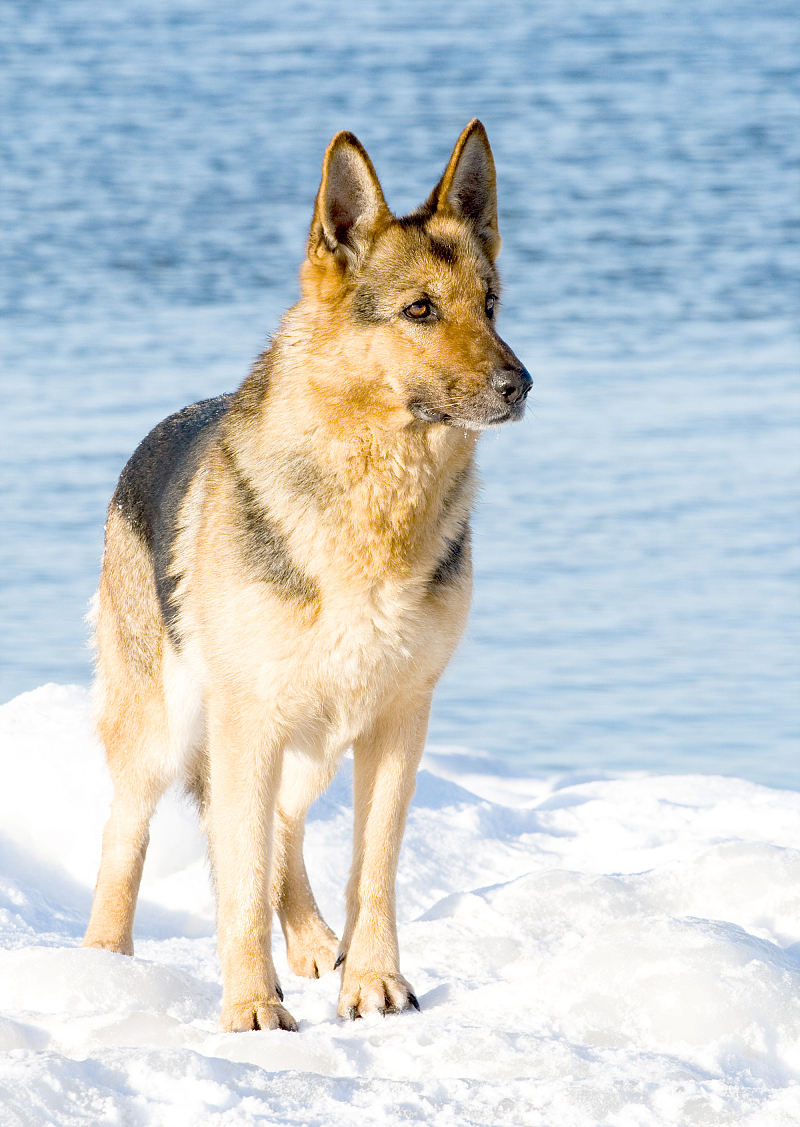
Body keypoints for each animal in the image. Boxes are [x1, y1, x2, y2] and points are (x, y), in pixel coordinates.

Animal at [82, 116, 531, 1032]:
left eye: (491, 303)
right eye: (420, 310)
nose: (521, 384)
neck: (375, 505)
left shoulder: (397, 719)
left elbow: (375, 868)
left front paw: (374, 982)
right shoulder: (250, 720)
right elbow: (240, 877)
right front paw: (252, 1005)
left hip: (315, 737)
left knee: (282, 831)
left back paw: (318, 943)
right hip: (169, 731)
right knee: (131, 835)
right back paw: (107, 968)